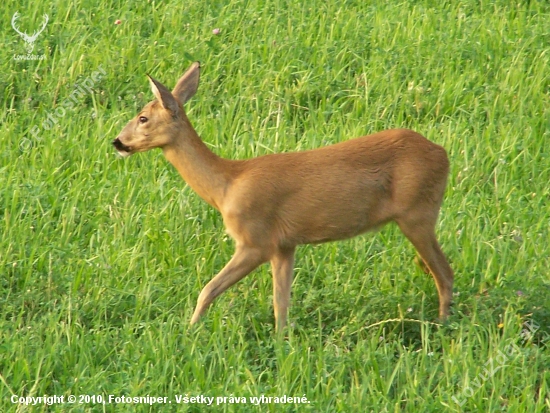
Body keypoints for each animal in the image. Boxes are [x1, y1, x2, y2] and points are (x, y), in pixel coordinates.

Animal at [113, 60, 458, 332]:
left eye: (142, 118)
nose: (117, 142)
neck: (225, 186)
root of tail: (443, 153)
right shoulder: (284, 246)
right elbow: (281, 303)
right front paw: (282, 342)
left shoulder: (255, 240)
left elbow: (208, 289)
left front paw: (190, 331)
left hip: (417, 214)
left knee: (445, 272)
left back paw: (442, 325)